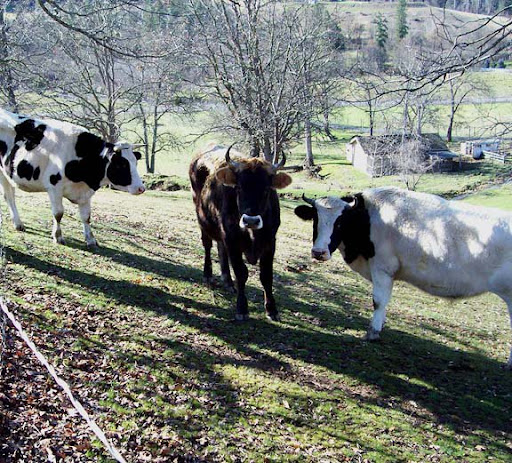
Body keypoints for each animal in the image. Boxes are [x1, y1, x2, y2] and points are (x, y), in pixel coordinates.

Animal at [0, 109, 145, 246]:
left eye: (135, 162)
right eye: (121, 164)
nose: (141, 188)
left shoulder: (85, 193)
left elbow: (86, 216)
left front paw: (91, 240)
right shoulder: (54, 187)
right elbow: (58, 213)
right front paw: (58, 237)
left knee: (10, 196)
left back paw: (18, 224)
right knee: (9, 197)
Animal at [188, 143, 292, 320]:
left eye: (266, 189)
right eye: (239, 188)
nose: (251, 220)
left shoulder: (270, 242)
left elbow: (266, 276)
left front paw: (271, 309)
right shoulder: (232, 240)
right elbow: (241, 273)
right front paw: (242, 308)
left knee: (220, 248)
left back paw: (227, 280)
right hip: (202, 219)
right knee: (207, 245)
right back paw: (208, 275)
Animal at [296, 186, 512, 370]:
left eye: (340, 222)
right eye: (315, 219)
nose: (319, 252)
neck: (368, 218)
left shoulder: (382, 267)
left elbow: (378, 301)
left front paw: (373, 332)